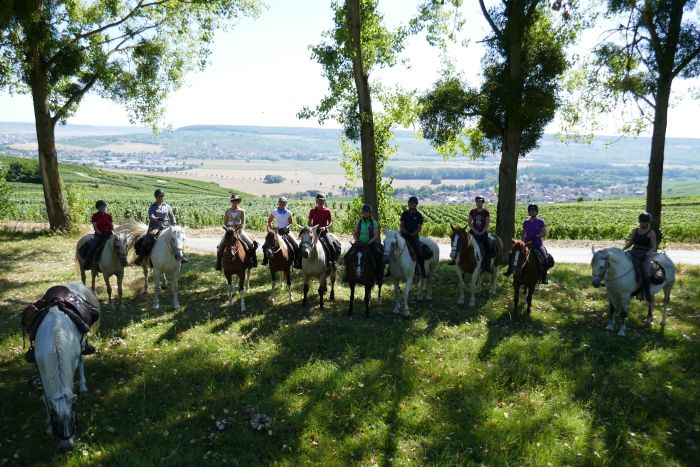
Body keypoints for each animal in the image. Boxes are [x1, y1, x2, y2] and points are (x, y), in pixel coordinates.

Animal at [22, 282, 100, 454]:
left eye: (73, 418)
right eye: (55, 420)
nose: (67, 447)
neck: (55, 345)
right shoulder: (40, 367)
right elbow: (45, 398)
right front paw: (49, 428)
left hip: (82, 343)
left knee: (82, 360)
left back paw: (83, 386)